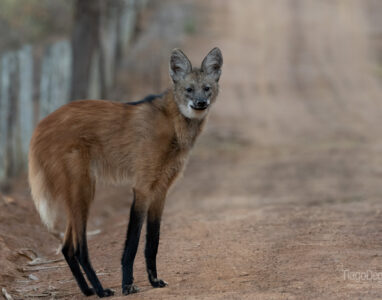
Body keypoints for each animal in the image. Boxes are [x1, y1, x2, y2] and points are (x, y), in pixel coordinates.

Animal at [28, 48, 222, 296]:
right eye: (189, 89)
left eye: (206, 88)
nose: (200, 103)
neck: (173, 124)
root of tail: (40, 125)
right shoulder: (142, 187)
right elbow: (133, 242)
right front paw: (128, 285)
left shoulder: (160, 191)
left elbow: (153, 242)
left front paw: (154, 281)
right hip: (84, 189)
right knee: (79, 247)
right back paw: (101, 290)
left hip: (79, 192)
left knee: (67, 247)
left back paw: (88, 290)